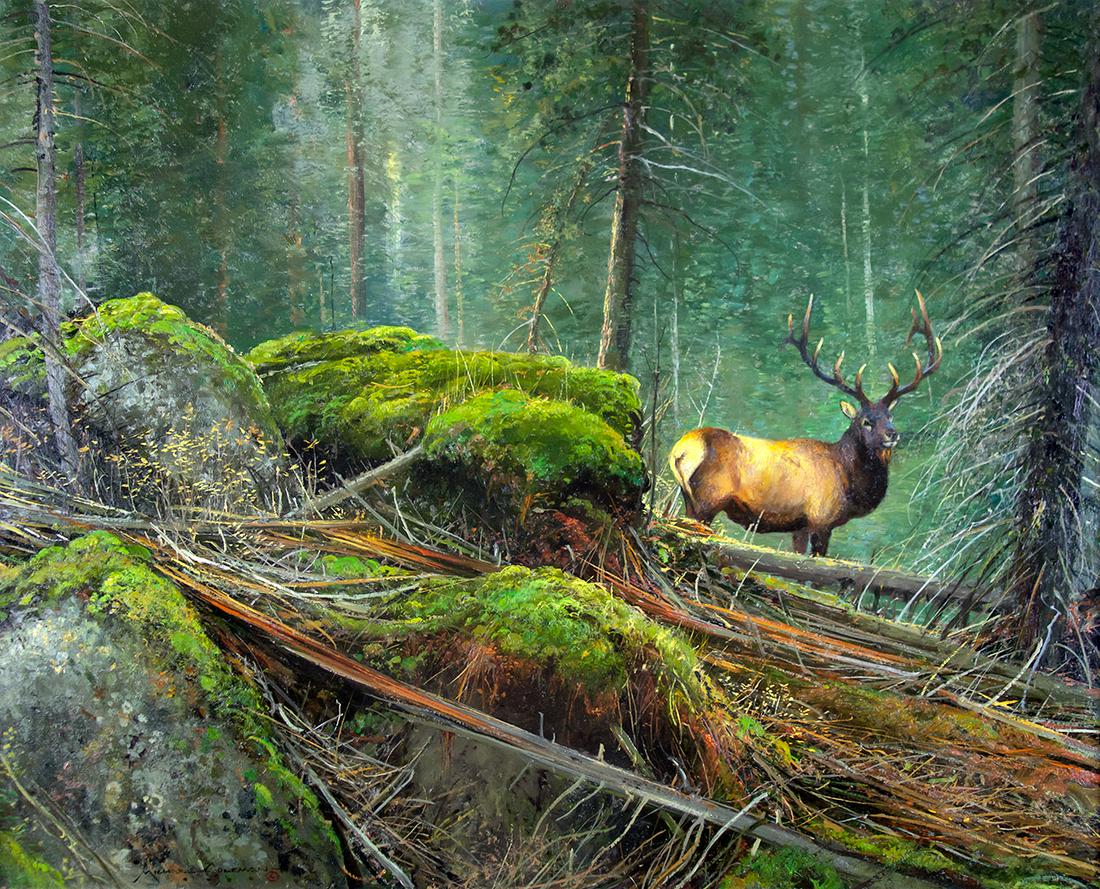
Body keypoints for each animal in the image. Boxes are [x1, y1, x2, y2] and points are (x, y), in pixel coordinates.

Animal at [668, 291, 942, 557]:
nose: (892, 434)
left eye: (890, 416)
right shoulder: (822, 519)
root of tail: (680, 450)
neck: (848, 481)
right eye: (866, 420)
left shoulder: (799, 525)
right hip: (708, 500)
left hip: (689, 499)